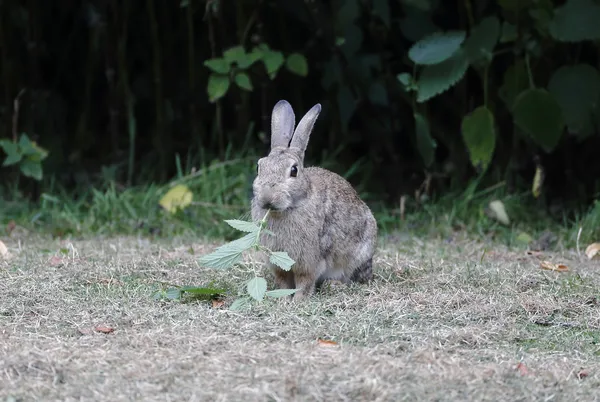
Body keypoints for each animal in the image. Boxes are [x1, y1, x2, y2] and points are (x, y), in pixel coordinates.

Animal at [251, 99, 378, 302]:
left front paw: (298, 301)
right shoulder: (278, 264)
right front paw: (283, 300)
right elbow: (283, 282)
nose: (267, 197)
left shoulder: (309, 261)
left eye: (294, 170)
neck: (291, 207)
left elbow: (305, 282)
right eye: (259, 167)